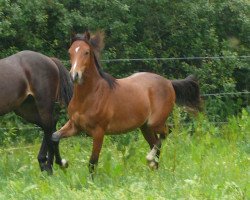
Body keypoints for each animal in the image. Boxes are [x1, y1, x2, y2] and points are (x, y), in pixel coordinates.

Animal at [51, 31, 201, 175]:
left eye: (86, 52)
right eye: (70, 52)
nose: (74, 75)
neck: (89, 96)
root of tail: (169, 82)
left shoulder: (98, 132)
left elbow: (92, 162)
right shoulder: (75, 126)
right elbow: (54, 137)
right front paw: (63, 163)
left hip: (155, 123)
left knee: (167, 132)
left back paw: (150, 159)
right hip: (145, 127)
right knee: (156, 142)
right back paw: (154, 170)